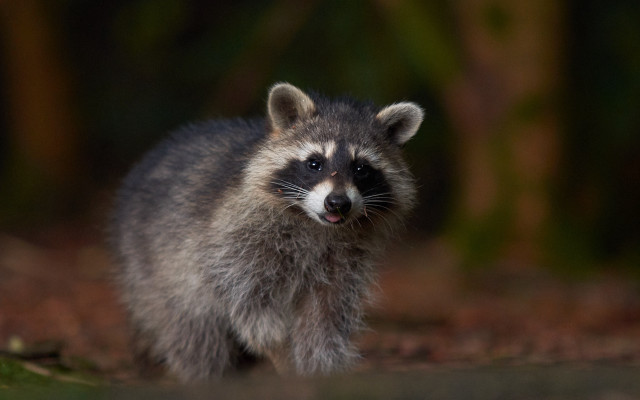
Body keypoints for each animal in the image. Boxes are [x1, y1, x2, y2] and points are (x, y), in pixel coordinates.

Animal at [110, 83, 423, 382]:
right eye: (315, 163)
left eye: (361, 169)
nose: (337, 202)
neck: (316, 225)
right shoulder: (234, 238)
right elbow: (250, 304)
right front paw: (282, 355)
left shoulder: (345, 261)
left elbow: (326, 317)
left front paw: (320, 367)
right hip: (156, 270)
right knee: (194, 333)